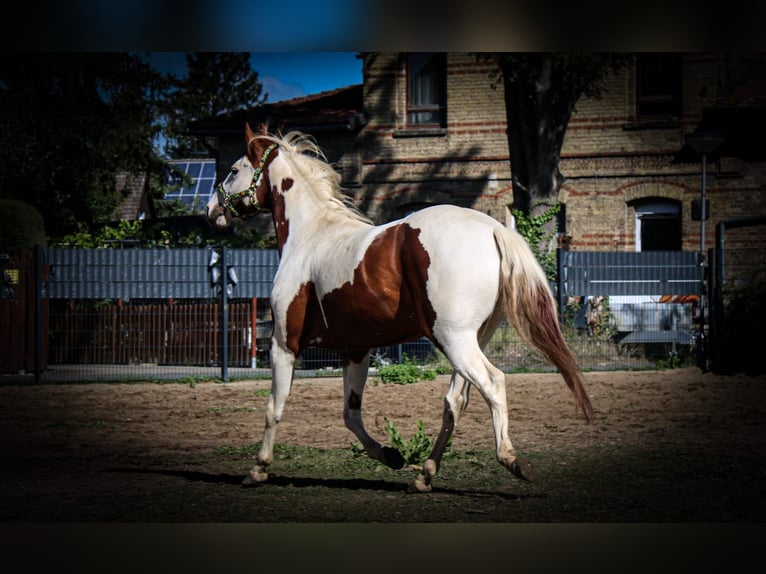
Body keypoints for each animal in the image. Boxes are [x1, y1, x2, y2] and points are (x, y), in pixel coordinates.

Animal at [206, 124, 592, 492]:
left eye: (233, 169)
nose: (212, 210)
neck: (311, 236)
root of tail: (494, 229)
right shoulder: (355, 351)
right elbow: (351, 414)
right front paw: (391, 456)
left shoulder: (284, 344)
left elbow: (275, 407)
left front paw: (258, 469)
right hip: (471, 339)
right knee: (455, 402)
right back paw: (424, 475)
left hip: (454, 339)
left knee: (493, 382)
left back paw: (513, 461)